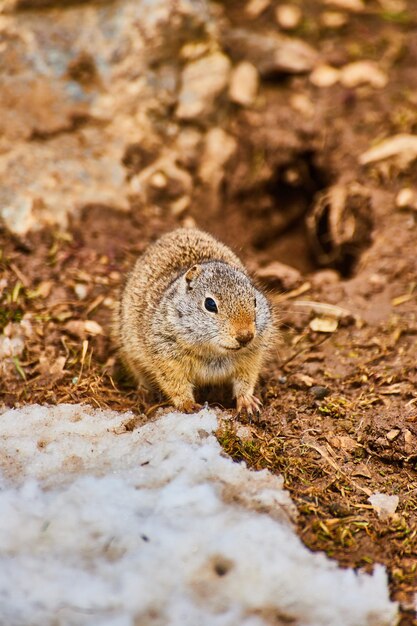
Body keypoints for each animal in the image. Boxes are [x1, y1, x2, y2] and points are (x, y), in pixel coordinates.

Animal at [113, 227, 272, 412]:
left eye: (254, 301)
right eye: (210, 304)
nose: (245, 336)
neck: (215, 353)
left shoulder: (252, 357)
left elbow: (245, 381)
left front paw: (247, 402)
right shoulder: (167, 358)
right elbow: (175, 384)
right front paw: (188, 405)